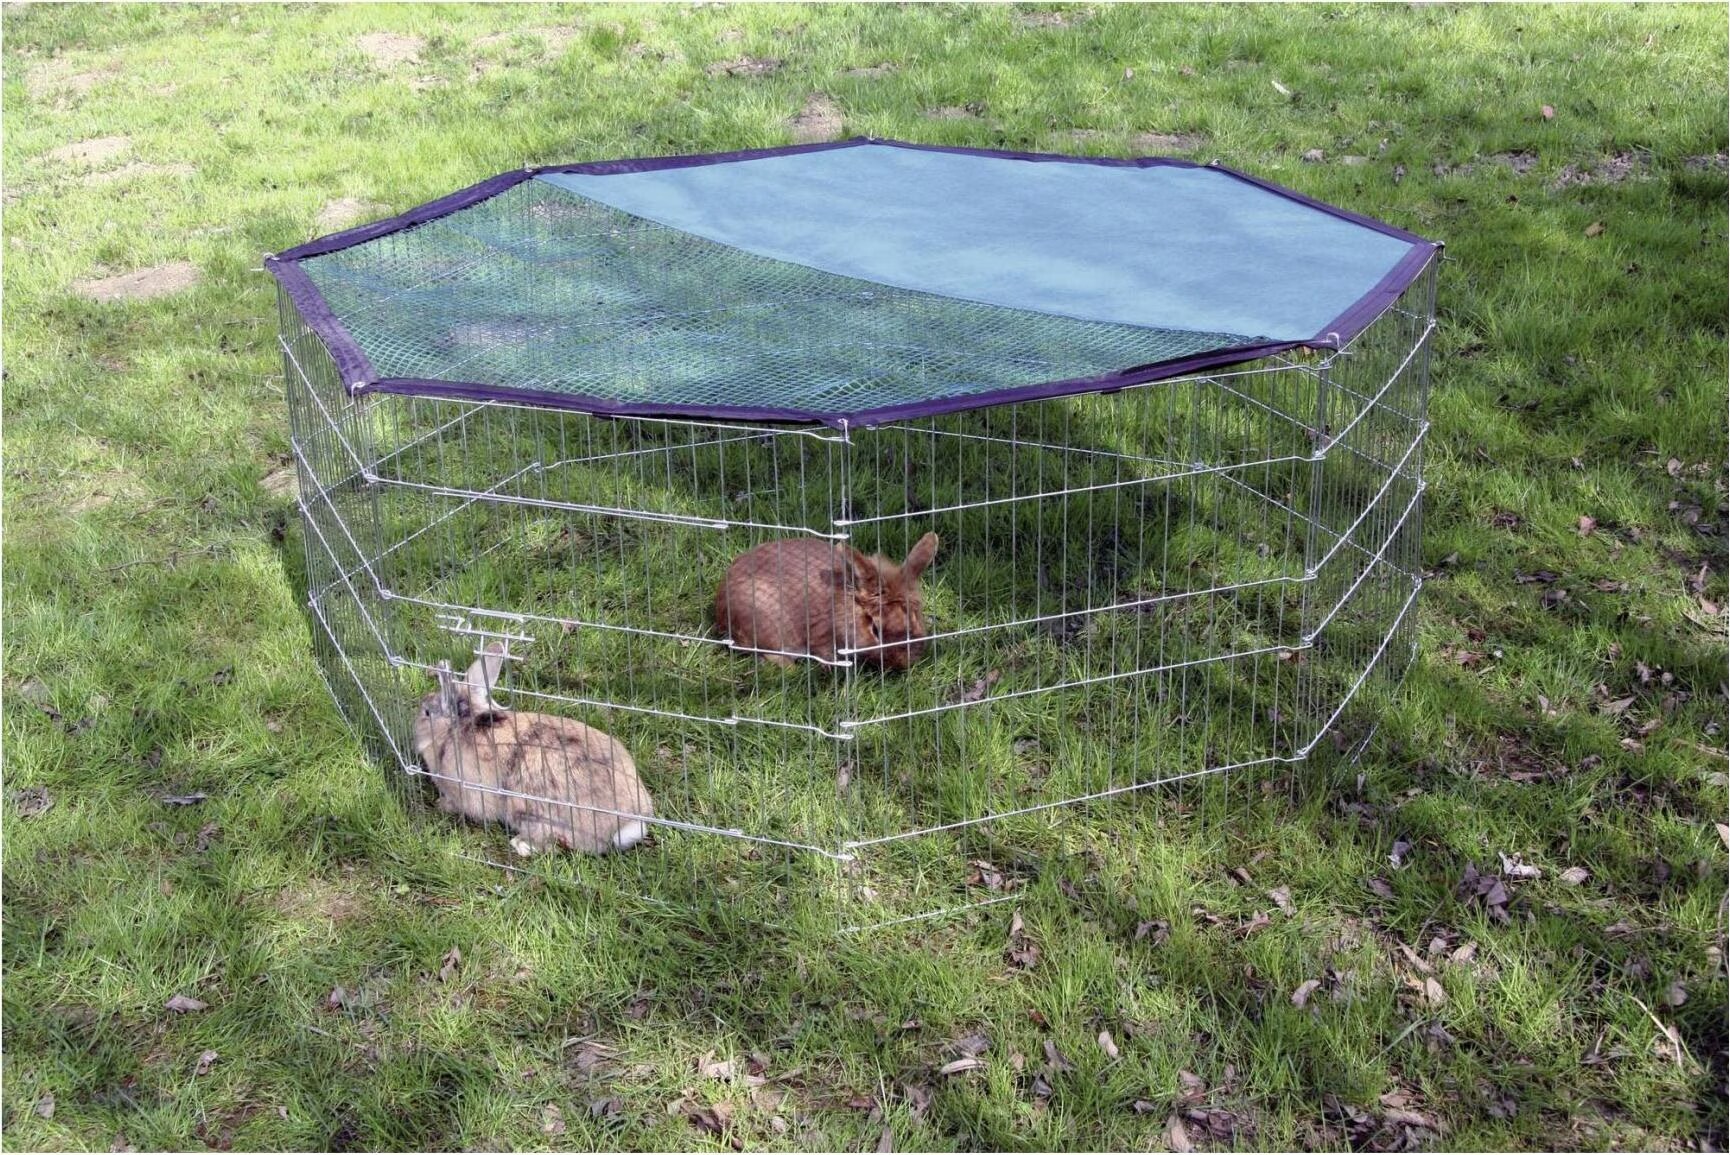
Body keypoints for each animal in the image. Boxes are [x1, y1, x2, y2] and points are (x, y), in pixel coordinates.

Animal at [412, 643, 654, 856]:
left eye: (426, 713)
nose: (414, 725)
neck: (456, 727)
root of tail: (627, 822)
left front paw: (441, 805)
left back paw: (521, 845)